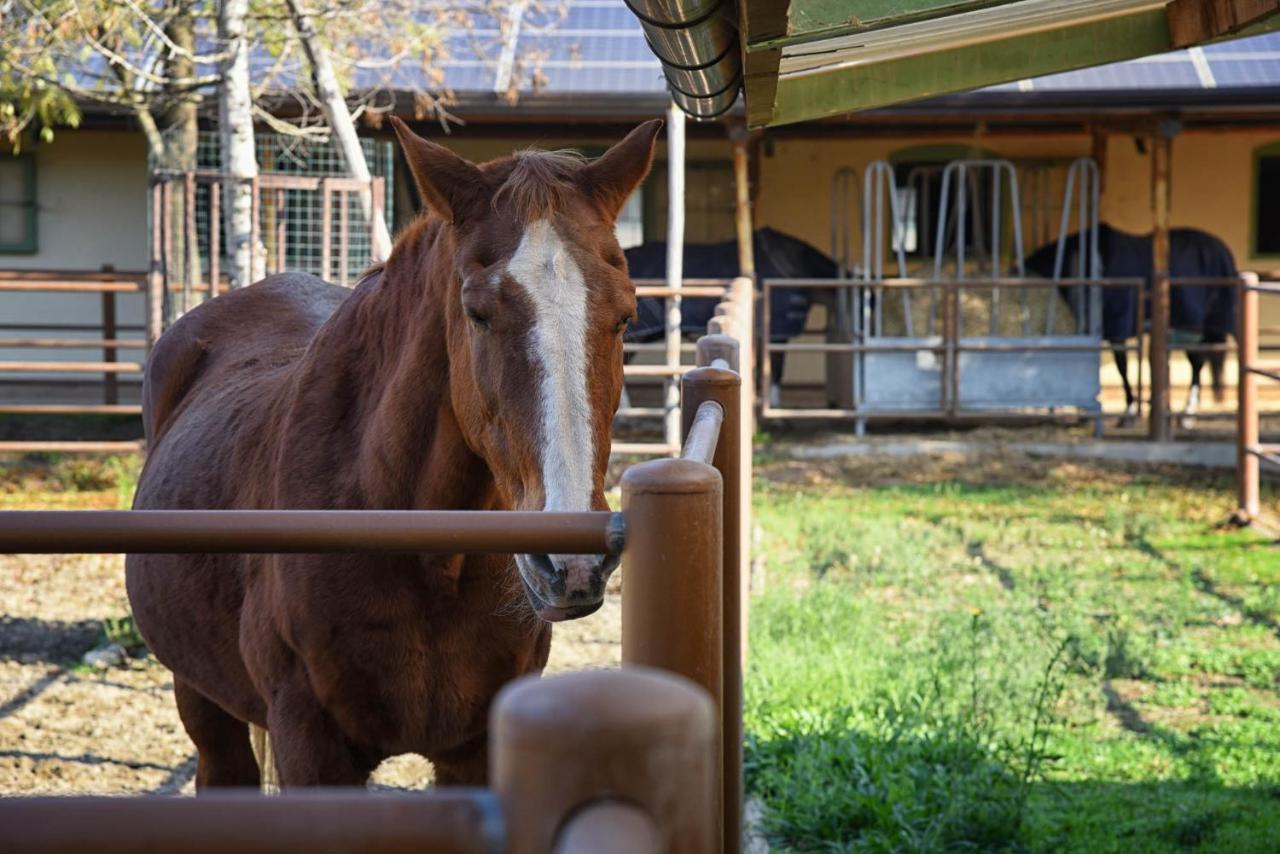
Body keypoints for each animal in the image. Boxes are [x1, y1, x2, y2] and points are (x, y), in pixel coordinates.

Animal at [123, 118, 660, 788]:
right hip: (201, 698)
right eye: (477, 313)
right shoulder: (311, 746)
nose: (573, 563)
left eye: (625, 316)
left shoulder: (476, 750)